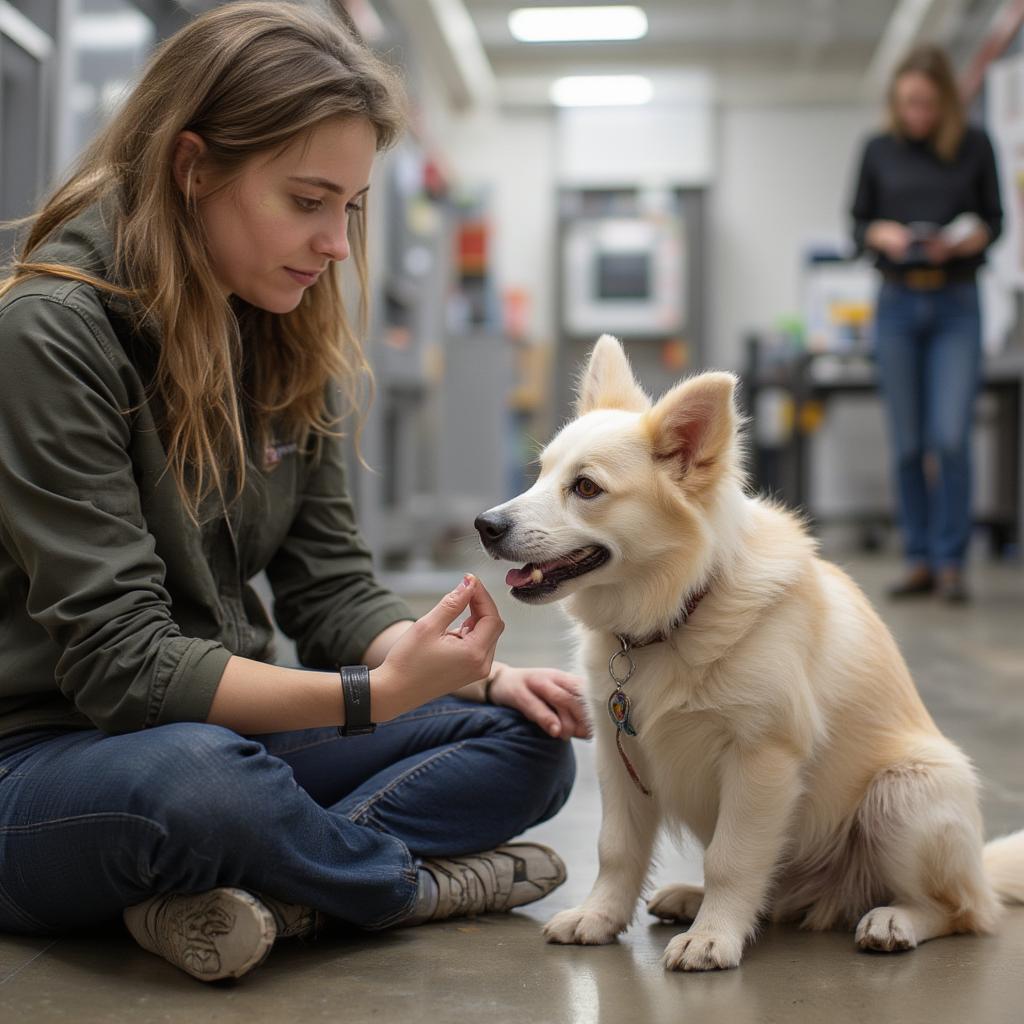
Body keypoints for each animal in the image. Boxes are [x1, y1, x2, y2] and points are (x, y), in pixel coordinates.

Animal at [477, 333, 1024, 966]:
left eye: (586, 487)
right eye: (539, 475)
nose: (484, 526)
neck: (680, 609)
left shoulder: (761, 757)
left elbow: (731, 859)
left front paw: (713, 937)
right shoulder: (620, 757)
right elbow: (616, 848)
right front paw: (600, 916)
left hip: (903, 794)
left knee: (962, 911)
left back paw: (894, 920)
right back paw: (692, 898)